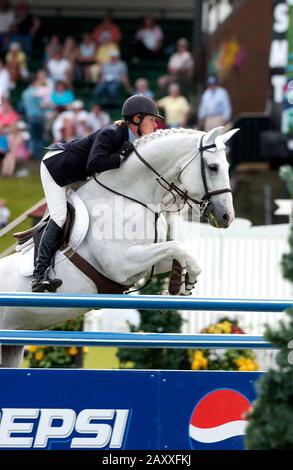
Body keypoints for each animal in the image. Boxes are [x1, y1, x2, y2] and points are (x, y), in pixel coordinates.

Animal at [0, 126, 236, 368]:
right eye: (213, 167)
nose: (227, 217)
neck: (132, 196)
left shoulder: (148, 261)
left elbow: (183, 256)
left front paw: (179, 289)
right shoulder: (122, 264)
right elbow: (178, 247)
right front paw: (178, 288)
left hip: (11, 345)